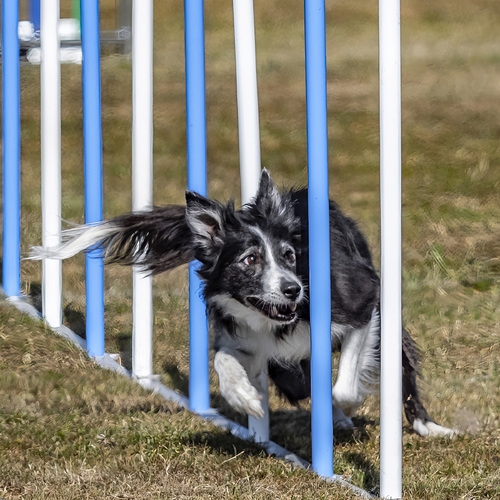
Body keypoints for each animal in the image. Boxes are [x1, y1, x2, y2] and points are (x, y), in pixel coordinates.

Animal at [29, 170, 456, 436]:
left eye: (288, 255)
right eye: (249, 260)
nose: (292, 290)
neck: (280, 318)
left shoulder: (362, 305)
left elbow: (344, 387)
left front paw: (346, 410)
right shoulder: (240, 334)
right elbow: (223, 359)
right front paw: (247, 399)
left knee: (400, 371)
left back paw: (429, 427)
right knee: (301, 383)